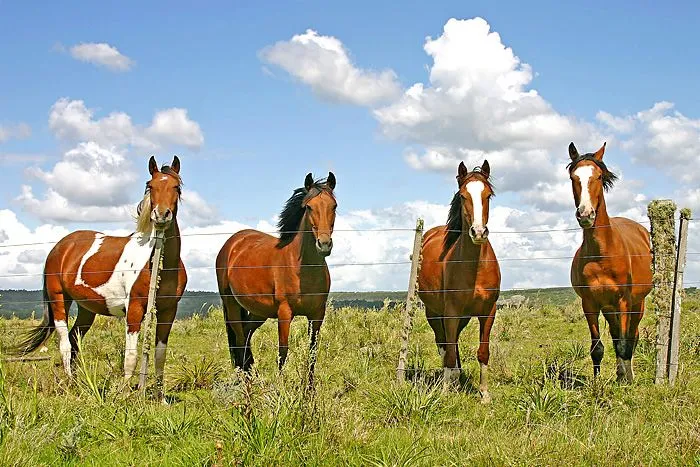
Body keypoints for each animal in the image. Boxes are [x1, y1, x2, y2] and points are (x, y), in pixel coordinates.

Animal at [10, 156, 187, 394]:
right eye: (150, 186)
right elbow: (131, 356)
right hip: (59, 300)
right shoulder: (134, 310)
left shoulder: (168, 311)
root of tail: (60, 246)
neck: (159, 265)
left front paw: (160, 397)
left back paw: (79, 383)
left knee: (74, 341)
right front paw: (124, 394)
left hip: (86, 308)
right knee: (64, 343)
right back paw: (70, 383)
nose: (160, 215)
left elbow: (160, 355)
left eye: (177, 187)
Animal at [216, 172, 336, 384]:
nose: (324, 244)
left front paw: (309, 389)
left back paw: (250, 373)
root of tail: (231, 243)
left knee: (246, 334)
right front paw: (280, 387)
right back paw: (246, 380)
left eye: (334, 206)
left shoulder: (317, 315)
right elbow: (283, 353)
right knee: (240, 339)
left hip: (258, 311)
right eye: (309, 207)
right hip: (231, 304)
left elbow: (312, 352)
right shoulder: (284, 313)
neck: (302, 269)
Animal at [418, 161, 500, 402]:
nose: (479, 232)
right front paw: (446, 392)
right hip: (434, 313)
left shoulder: (488, 312)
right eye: (463, 196)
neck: (474, 267)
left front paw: (484, 394)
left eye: (488, 195)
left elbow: (483, 352)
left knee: (452, 343)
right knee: (444, 344)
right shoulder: (450, 312)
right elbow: (448, 351)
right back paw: (452, 378)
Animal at [568, 144, 652, 384]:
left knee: (631, 337)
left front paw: (626, 381)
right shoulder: (590, 304)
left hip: (636, 305)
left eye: (598, 176)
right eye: (573, 177)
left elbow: (624, 344)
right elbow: (598, 347)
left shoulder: (623, 301)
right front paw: (598, 383)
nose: (585, 214)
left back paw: (627, 374)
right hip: (608, 308)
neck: (602, 254)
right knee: (616, 337)